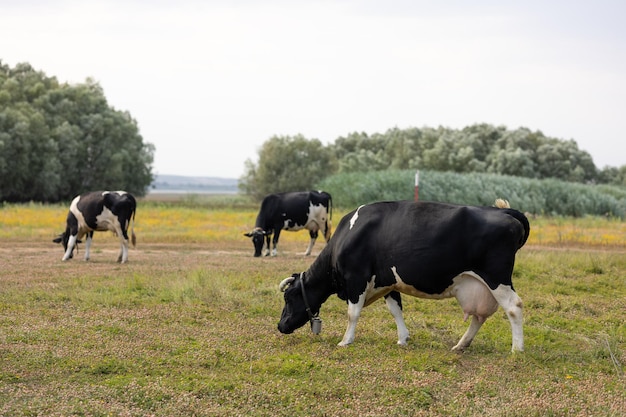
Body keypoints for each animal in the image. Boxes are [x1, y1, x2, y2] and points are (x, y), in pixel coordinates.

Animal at [276, 198, 528, 352]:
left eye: (288, 298)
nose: (280, 325)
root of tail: (500, 210)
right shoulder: (388, 282)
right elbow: (395, 310)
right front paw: (403, 338)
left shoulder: (356, 279)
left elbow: (352, 314)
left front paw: (346, 341)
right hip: (479, 285)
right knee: (479, 316)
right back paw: (461, 345)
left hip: (497, 278)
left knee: (513, 307)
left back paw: (517, 349)